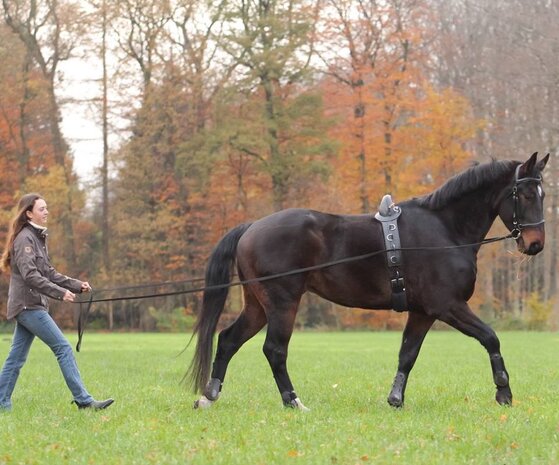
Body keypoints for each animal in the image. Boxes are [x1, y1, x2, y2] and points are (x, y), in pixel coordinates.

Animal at [190, 150, 548, 408]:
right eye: (526, 194)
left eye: (542, 193)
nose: (535, 244)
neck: (445, 230)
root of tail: (251, 227)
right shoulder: (448, 306)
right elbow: (491, 338)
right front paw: (503, 393)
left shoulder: (423, 312)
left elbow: (407, 354)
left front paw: (395, 399)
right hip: (282, 303)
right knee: (275, 350)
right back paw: (293, 402)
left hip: (257, 305)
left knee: (229, 340)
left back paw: (209, 396)